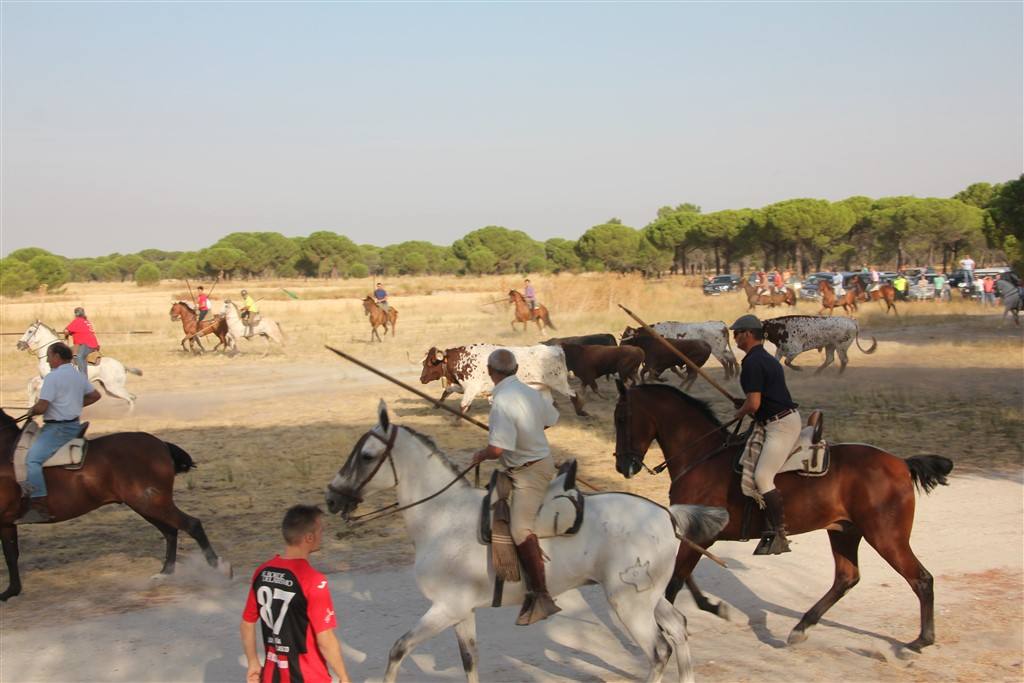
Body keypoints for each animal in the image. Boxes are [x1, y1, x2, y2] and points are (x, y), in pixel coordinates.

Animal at [0, 409, 232, 602]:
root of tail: (161, 445)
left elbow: (9, 555)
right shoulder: (7, 523)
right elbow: (11, 555)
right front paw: (11, 591)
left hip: (151, 503)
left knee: (191, 525)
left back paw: (219, 568)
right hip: (145, 505)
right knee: (171, 531)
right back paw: (164, 574)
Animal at [323, 401, 733, 683]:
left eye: (367, 456)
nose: (331, 498)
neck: (442, 517)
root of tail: (666, 515)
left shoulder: (445, 608)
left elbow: (398, 649)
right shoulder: (461, 612)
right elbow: (470, 661)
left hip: (629, 604)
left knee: (659, 650)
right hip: (648, 597)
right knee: (678, 628)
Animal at [419, 344, 589, 413]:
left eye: (430, 362)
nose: (421, 378)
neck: (463, 359)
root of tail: (555, 349)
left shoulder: (472, 388)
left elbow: (463, 405)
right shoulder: (464, 387)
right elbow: (447, 391)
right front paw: (437, 405)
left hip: (559, 383)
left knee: (573, 394)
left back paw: (581, 411)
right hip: (543, 387)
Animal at [606, 382, 950, 655]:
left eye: (621, 417)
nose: (624, 466)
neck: (702, 455)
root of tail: (901, 463)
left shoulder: (700, 536)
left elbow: (675, 582)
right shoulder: (695, 535)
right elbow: (684, 578)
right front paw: (712, 607)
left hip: (885, 536)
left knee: (921, 578)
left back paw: (922, 640)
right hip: (844, 531)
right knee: (846, 577)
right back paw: (801, 628)